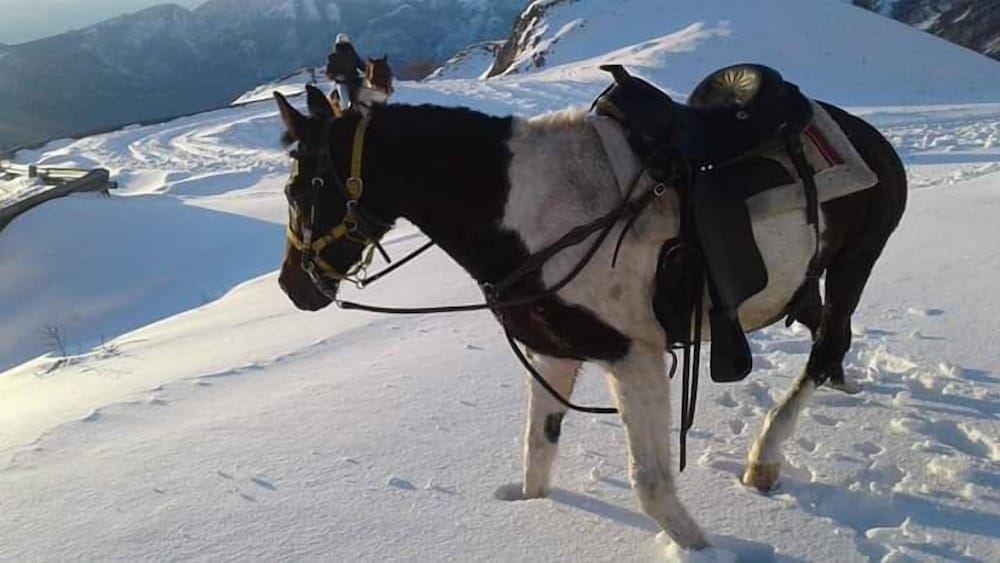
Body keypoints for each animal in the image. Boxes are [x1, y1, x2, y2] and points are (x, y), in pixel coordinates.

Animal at [273, 80, 906, 550]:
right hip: (803, 280)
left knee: (825, 348)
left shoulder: (634, 358)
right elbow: (537, 453)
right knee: (829, 338)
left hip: (854, 262)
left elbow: (649, 484)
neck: (526, 213)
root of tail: (866, 135)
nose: (291, 287)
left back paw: (764, 460)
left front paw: (703, 548)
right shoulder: (552, 352)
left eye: (301, 189)